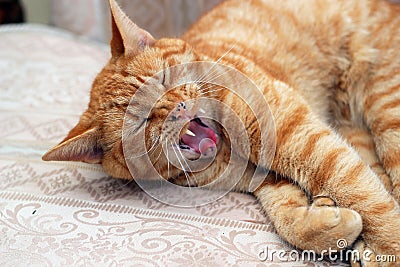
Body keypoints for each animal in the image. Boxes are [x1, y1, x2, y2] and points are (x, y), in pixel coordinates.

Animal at [42, 0, 398, 266]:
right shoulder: (267, 177)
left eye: (163, 78)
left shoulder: (297, 134)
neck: (227, 149)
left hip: (385, 108)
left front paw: (390, 249)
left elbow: (361, 192)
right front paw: (328, 222)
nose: (178, 108)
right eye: (142, 121)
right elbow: (287, 216)